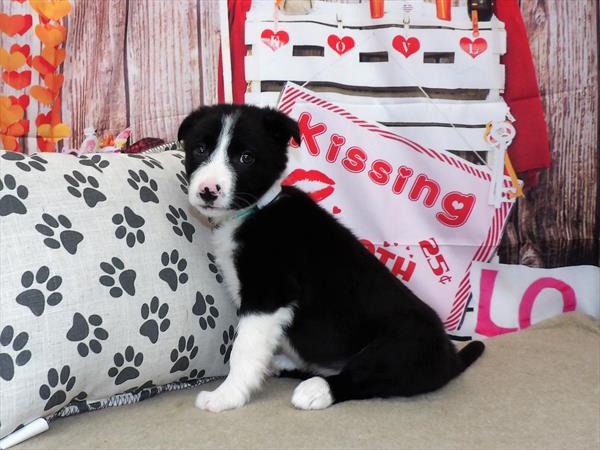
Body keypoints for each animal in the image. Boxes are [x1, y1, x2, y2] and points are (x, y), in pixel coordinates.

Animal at [177, 103, 482, 412]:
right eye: (200, 149)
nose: (208, 191)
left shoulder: (269, 294)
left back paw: (316, 390)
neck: (256, 211)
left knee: (365, 376)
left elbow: (244, 348)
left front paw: (226, 395)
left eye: (246, 157)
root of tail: (450, 360)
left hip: (402, 342)